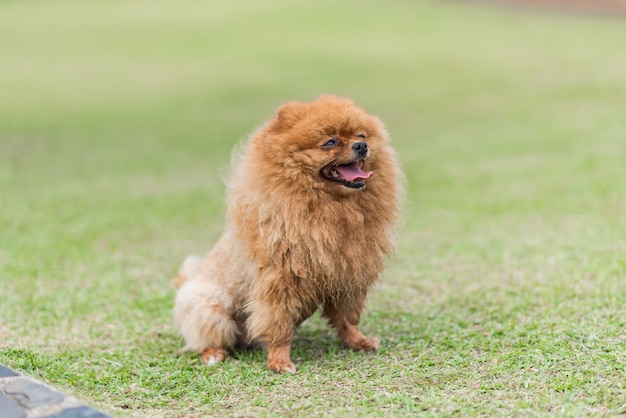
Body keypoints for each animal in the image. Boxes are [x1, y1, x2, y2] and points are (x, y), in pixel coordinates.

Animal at [173, 95, 402, 372]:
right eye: (330, 142)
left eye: (362, 135)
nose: (361, 146)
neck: (334, 209)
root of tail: (187, 279)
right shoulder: (281, 281)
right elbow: (279, 325)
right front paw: (279, 361)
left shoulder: (349, 276)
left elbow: (348, 318)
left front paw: (357, 341)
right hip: (209, 308)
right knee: (208, 336)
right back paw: (213, 354)